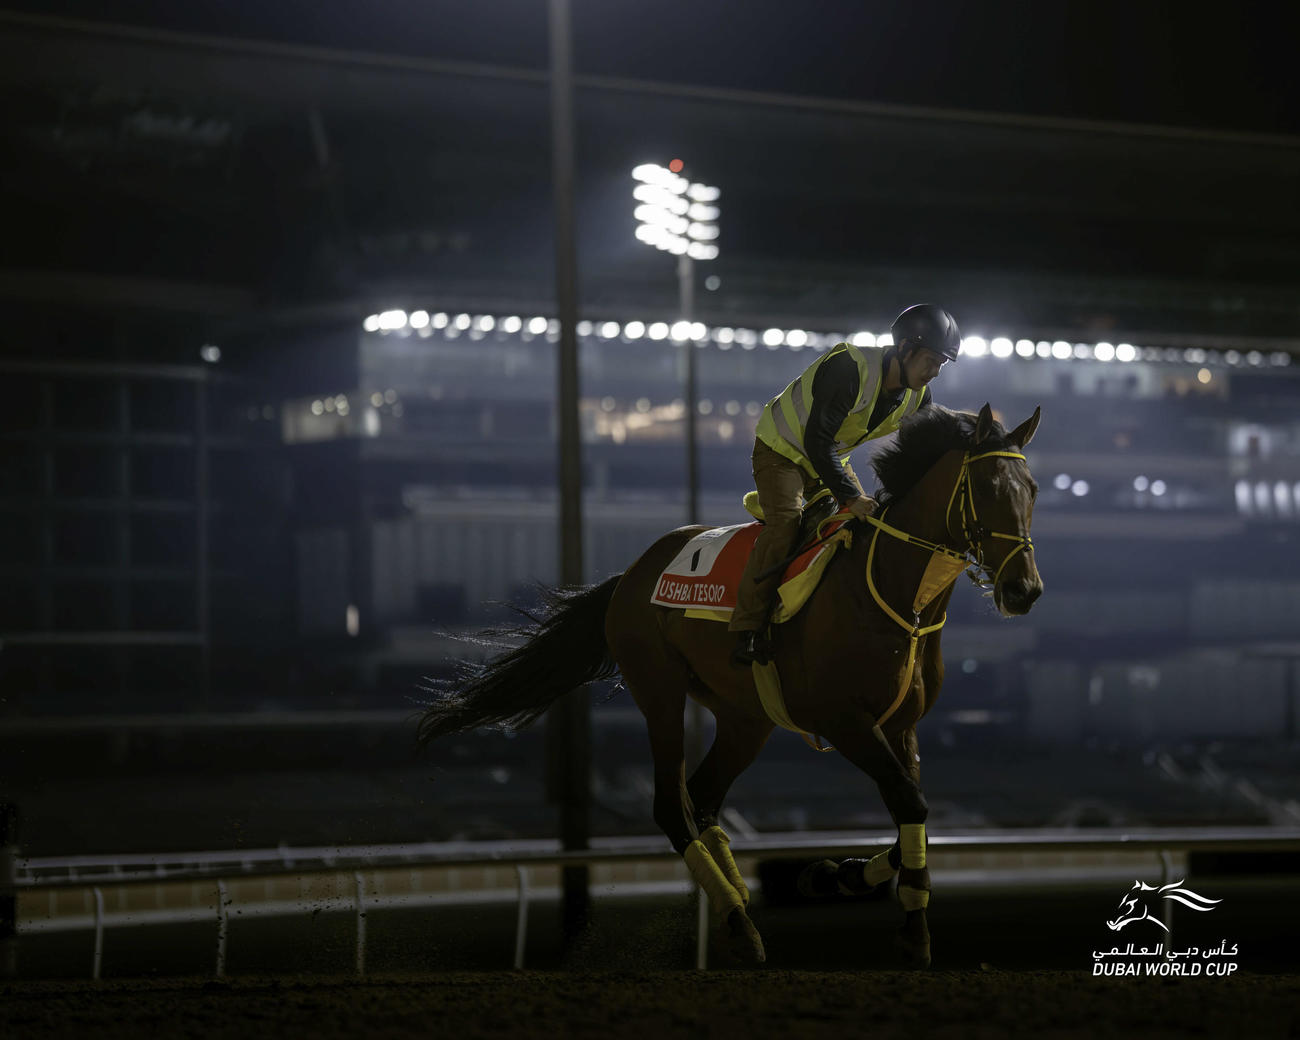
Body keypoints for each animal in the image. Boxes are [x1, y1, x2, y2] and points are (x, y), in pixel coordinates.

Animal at [418, 402, 1044, 968]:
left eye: (1033, 489)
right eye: (988, 484)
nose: (1024, 590)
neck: (894, 596)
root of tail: (633, 573)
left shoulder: (902, 726)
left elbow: (914, 815)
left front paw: (834, 878)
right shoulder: (845, 722)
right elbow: (910, 803)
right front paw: (908, 929)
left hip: (747, 718)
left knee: (705, 798)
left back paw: (736, 905)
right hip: (659, 691)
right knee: (674, 806)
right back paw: (739, 923)